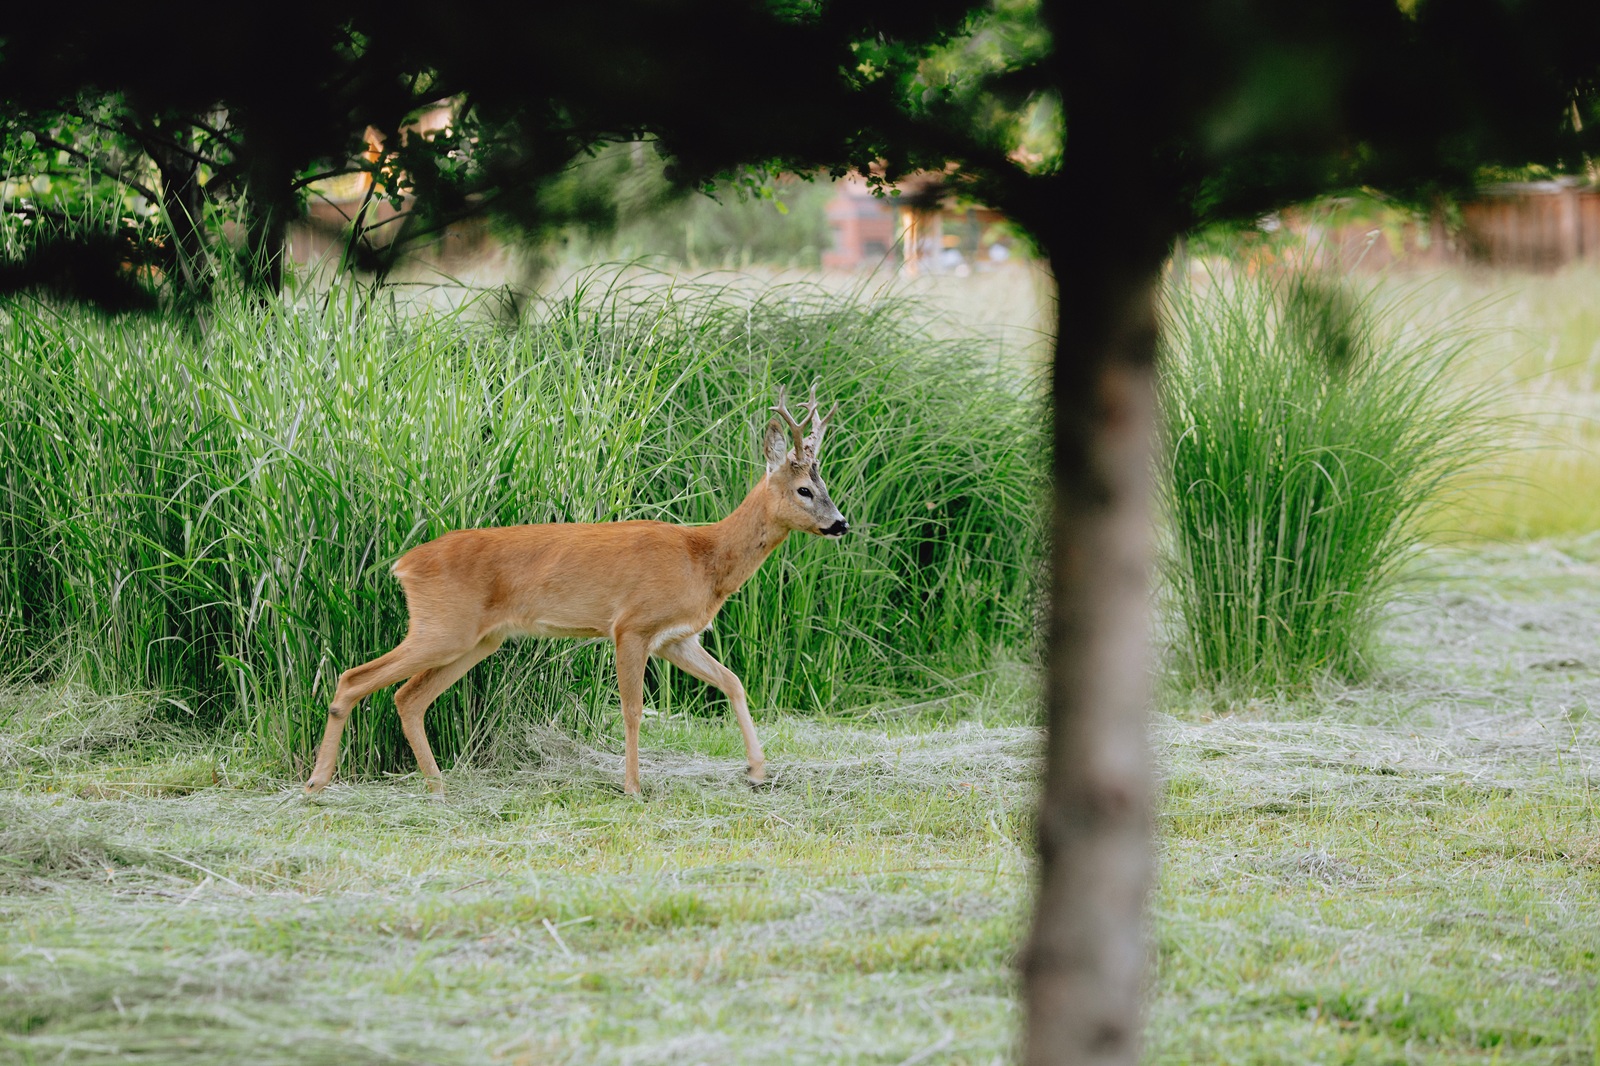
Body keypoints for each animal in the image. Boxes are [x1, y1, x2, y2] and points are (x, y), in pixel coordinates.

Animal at [303, 385, 848, 798]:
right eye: (803, 490)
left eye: (827, 487)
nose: (841, 523)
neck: (704, 558)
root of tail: (404, 564)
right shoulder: (631, 625)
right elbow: (632, 709)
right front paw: (633, 787)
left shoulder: (676, 637)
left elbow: (733, 682)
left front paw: (757, 771)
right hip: (444, 626)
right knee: (354, 677)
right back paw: (316, 783)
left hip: (477, 639)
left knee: (408, 697)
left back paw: (437, 787)